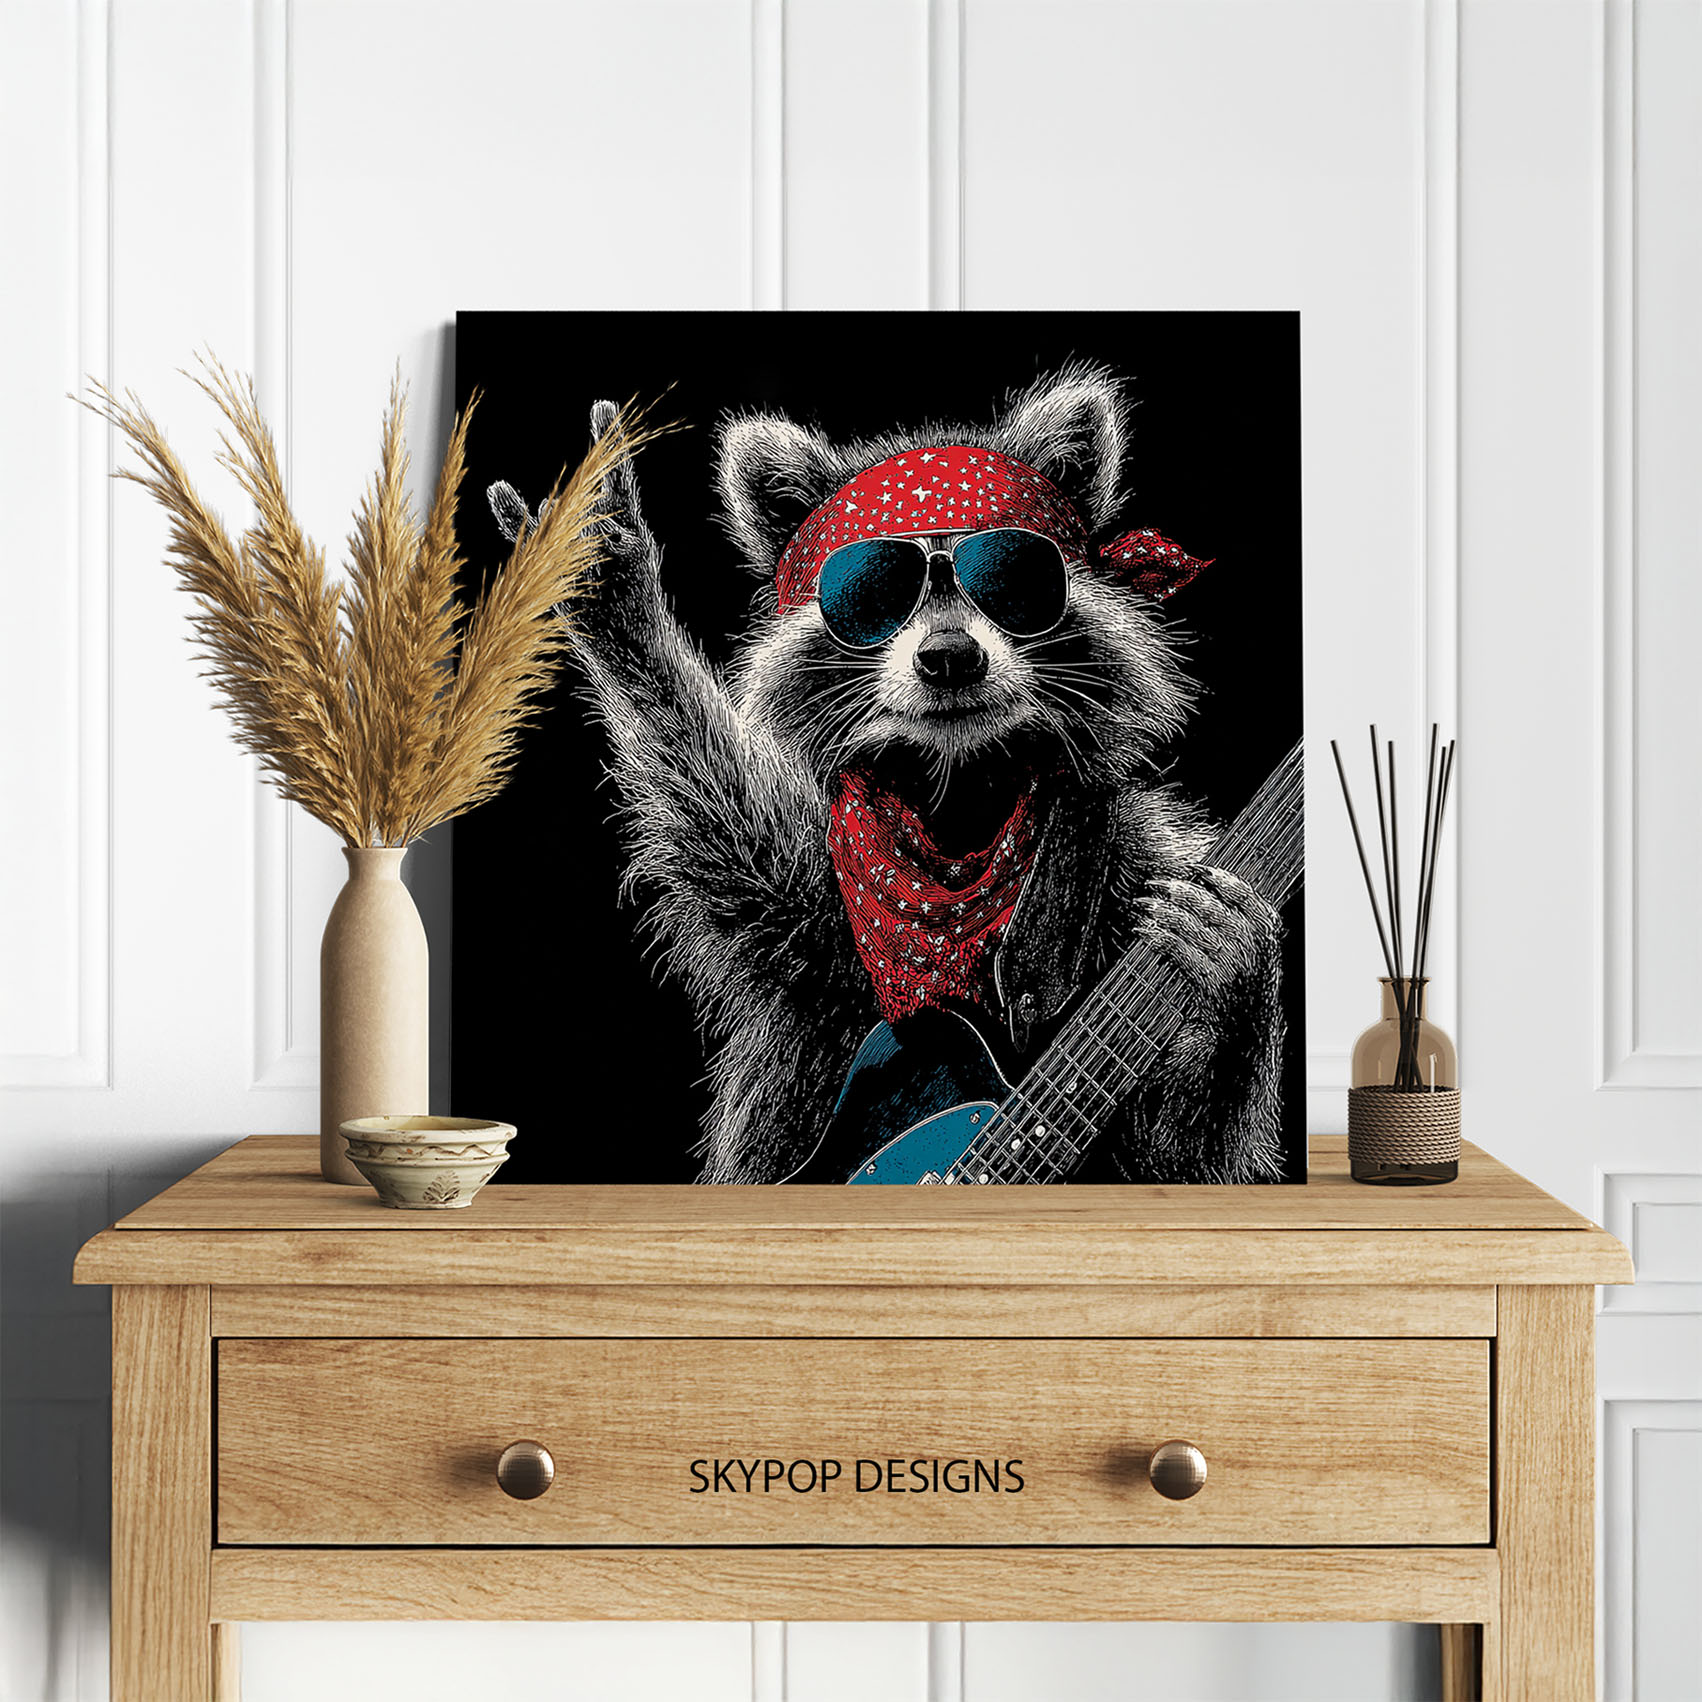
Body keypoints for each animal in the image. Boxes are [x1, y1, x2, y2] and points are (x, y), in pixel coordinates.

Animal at [491, 363, 1284, 1183]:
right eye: (872, 589)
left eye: (1013, 576)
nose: (950, 657)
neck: (959, 800)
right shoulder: (805, 883)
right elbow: (707, 795)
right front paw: (614, 594)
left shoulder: (1139, 859)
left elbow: (1183, 1160)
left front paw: (1231, 966)